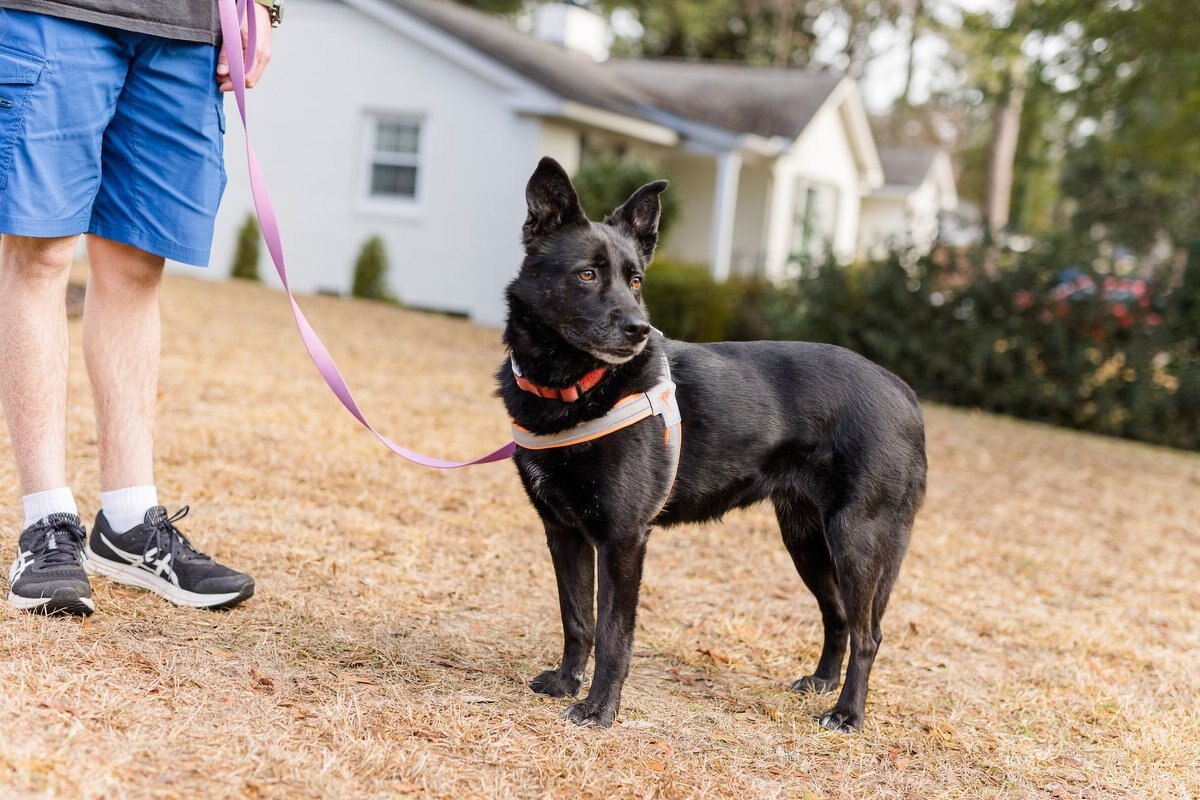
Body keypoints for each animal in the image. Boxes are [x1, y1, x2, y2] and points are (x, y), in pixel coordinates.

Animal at [496, 158, 926, 734]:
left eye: (635, 280)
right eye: (586, 274)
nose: (638, 330)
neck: (576, 387)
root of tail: (902, 390)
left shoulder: (623, 539)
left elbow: (613, 633)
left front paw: (600, 708)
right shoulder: (563, 532)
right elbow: (576, 618)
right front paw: (567, 682)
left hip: (856, 540)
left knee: (868, 634)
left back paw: (847, 713)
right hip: (807, 541)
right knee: (837, 617)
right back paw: (821, 683)